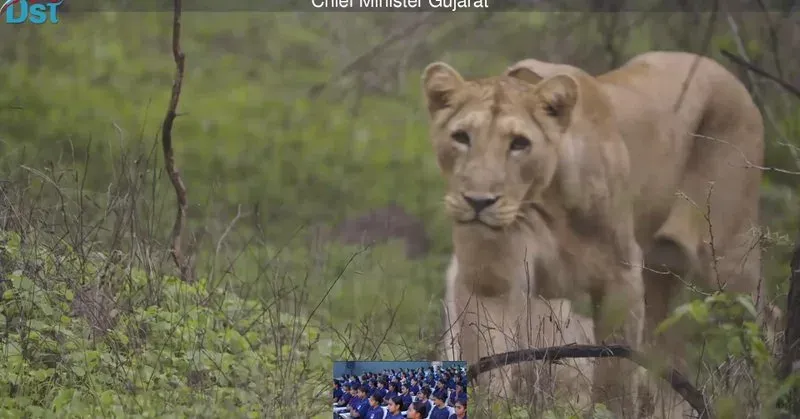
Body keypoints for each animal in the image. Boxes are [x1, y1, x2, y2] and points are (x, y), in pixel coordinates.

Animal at [423, 51, 764, 419]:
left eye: (519, 144)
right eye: (462, 137)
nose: (478, 201)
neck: (545, 199)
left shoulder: (620, 278)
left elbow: (615, 372)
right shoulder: (490, 282)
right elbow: (488, 359)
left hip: (727, 259)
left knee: (761, 321)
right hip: (661, 276)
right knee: (669, 354)